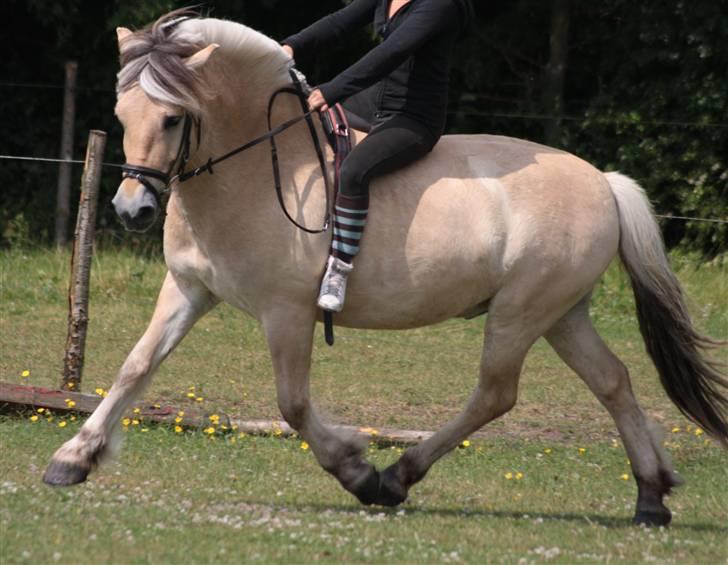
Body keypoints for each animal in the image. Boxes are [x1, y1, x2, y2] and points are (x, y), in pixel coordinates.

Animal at [41, 11, 728, 528]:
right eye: (122, 116)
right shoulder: (188, 289)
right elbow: (134, 367)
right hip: (561, 314)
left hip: (520, 313)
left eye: (173, 117)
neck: (256, 170)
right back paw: (650, 496)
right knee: (613, 381)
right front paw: (72, 458)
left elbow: (293, 403)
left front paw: (355, 468)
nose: (132, 210)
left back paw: (397, 477)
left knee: (496, 393)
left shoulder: (286, 312)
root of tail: (604, 181)